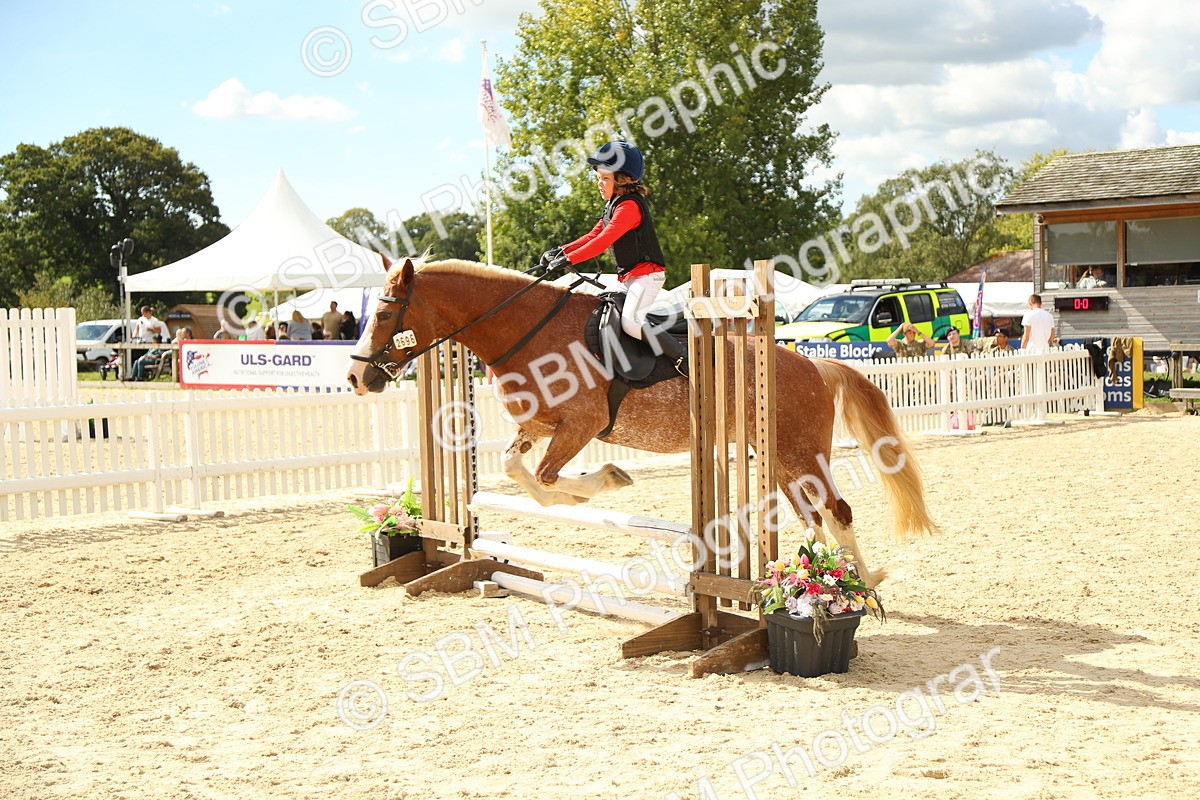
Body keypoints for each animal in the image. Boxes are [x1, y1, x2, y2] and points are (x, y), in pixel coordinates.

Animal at [347, 258, 938, 585]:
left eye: (385, 312)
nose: (355, 378)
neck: (524, 329)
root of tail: (812, 362)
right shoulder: (538, 427)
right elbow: (520, 473)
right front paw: (597, 485)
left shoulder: (580, 425)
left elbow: (546, 479)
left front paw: (607, 480)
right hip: (779, 459)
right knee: (812, 516)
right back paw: (834, 577)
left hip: (801, 452)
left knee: (838, 511)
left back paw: (860, 586)